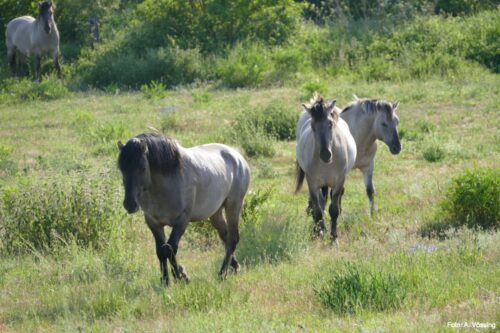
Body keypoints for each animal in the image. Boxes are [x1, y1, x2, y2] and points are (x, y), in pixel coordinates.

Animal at [117, 132, 250, 286]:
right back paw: (234, 266)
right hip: (215, 213)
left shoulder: (181, 220)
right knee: (226, 237)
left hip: (234, 205)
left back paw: (222, 273)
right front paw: (166, 281)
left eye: (143, 168)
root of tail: (237, 157)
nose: (129, 204)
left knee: (233, 238)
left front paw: (181, 276)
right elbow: (161, 251)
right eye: (121, 169)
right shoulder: (153, 222)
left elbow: (170, 248)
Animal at [294, 93, 358, 241]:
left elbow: (333, 210)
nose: (325, 154)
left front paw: (334, 237)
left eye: (330, 124)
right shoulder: (312, 183)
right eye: (312, 126)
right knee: (319, 204)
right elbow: (318, 210)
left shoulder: (339, 181)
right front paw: (319, 232)